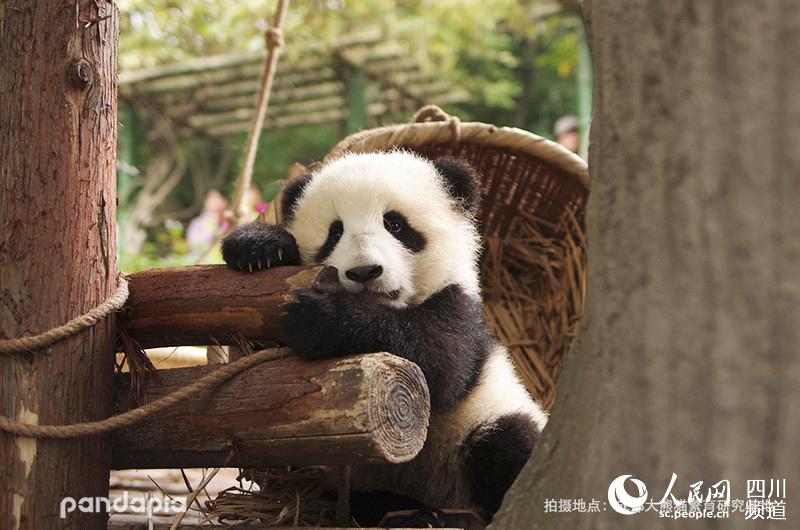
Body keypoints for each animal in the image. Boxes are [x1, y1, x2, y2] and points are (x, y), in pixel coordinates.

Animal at [222, 151, 548, 520]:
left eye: (395, 225)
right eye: (335, 232)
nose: (365, 271)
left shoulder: (461, 311)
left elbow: (438, 364)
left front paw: (323, 318)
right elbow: (260, 372)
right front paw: (259, 247)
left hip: (488, 417)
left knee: (506, 443)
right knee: (369, 501)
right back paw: (413, 516)